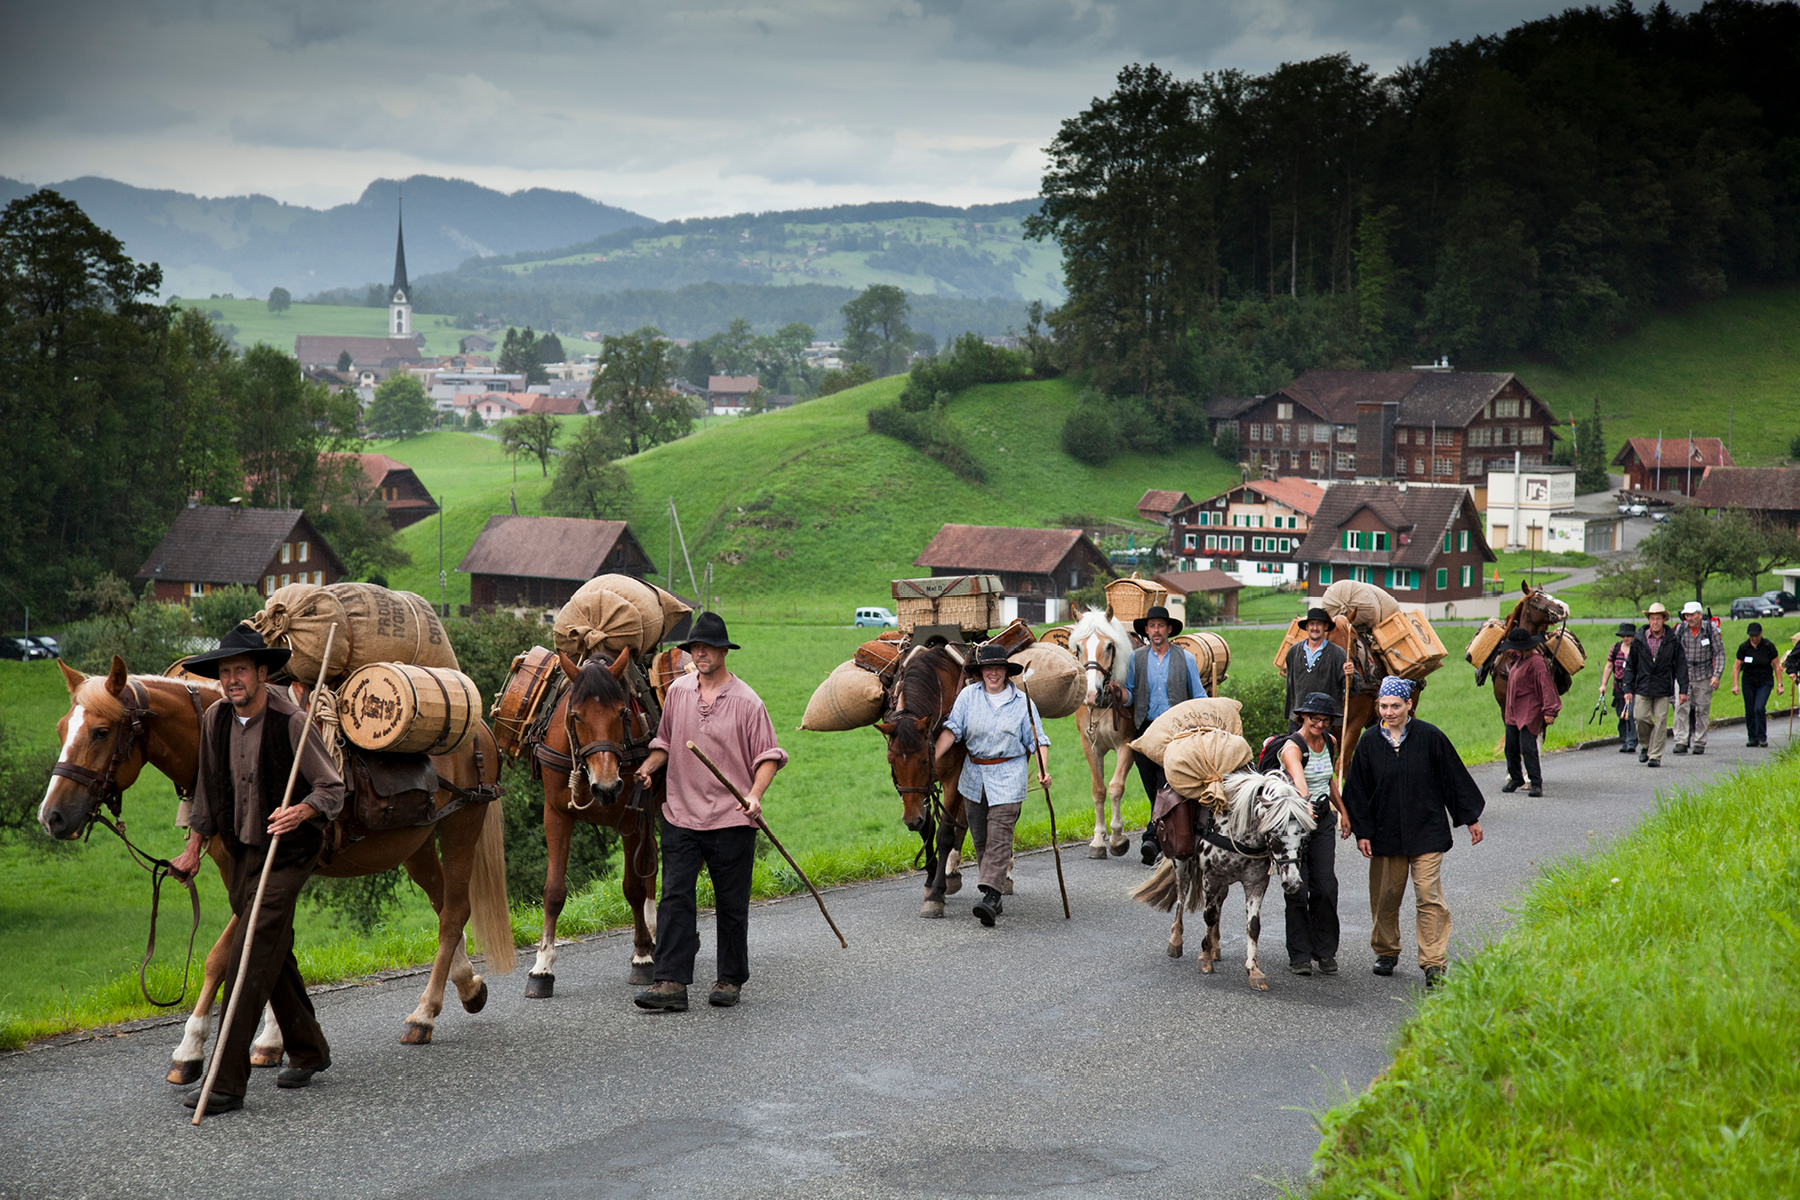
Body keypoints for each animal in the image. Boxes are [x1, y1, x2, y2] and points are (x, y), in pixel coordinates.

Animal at [36, 658, 514, 1086]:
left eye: (101, 731)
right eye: (60, 729)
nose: (52, 816)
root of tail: (481, 730)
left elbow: (225, 956)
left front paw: (191, 1049)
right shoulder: (242, 874)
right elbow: (268, 948)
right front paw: (270, 1041)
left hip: (461, 827)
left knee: (454, 913)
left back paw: (424, 1014)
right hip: (416, 846)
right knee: (444, 907)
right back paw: (468, 986)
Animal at [525, 647, 666, 993]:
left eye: (622, 712)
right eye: (576, 715)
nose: (606, 787)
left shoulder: (631, 818)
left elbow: (632, 887)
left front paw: (642, 957)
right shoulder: (556, 815)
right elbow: (553, 891)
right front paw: (542, 967)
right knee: (651, 859)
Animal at [874, 647, 972, 921]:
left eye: (924, 760)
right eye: (891, 761)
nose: (909, 820)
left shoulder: (953, 775)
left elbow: (944, 832)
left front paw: (936, 895)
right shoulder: (918, 792)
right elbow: (927, 829)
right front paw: (930, 880)